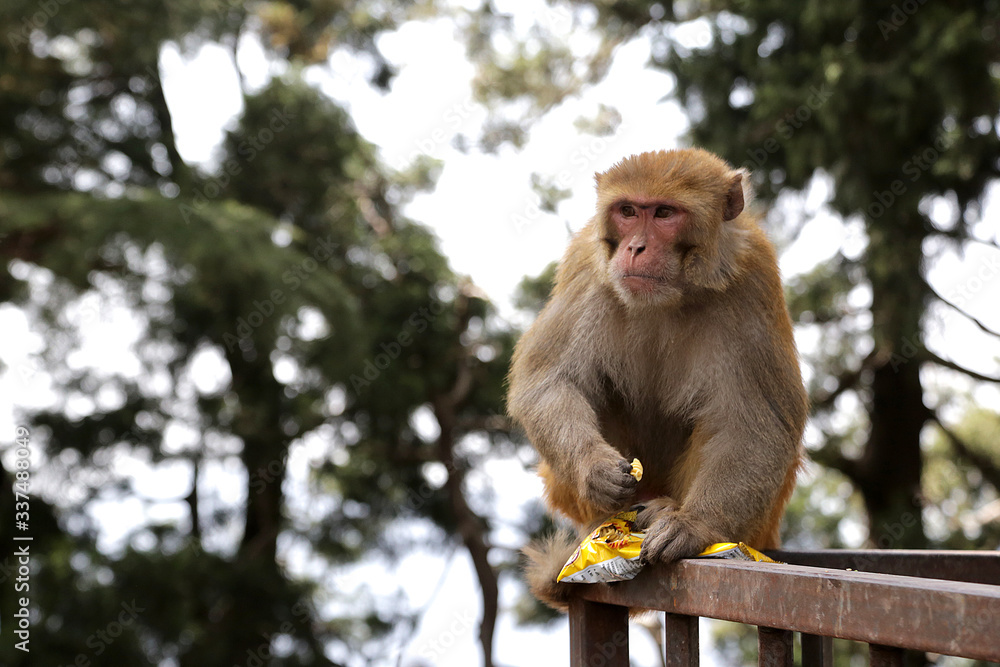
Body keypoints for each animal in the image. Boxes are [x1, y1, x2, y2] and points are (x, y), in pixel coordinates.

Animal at [507, 148, 807, 611]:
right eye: (629, 211)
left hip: (758, 522)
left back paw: (665, 511)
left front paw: (695, 525)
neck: (673, 293)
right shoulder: (587, 268)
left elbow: (756, 423)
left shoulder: (753, 279)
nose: (636, 247)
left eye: (665, 213)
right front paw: (594, 468)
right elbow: (547, 379)